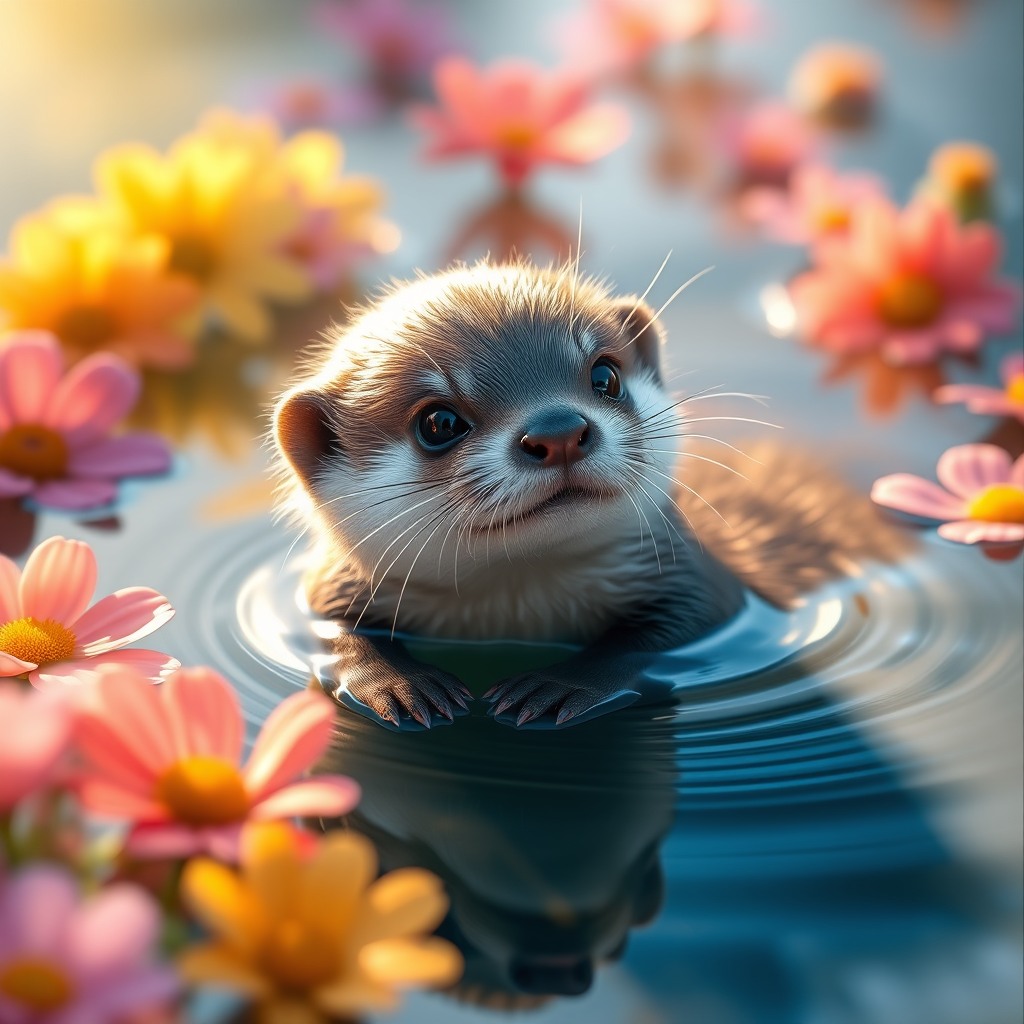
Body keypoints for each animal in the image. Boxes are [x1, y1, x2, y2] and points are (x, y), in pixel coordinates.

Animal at [273, 260, 905, 728]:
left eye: (605, 375)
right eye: (438, 422)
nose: (557, 432)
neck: (517, 617)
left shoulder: (707, 587)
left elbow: (663, 635)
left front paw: (558, 685)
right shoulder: (327, 588)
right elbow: (328, 631)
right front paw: (401, 685)